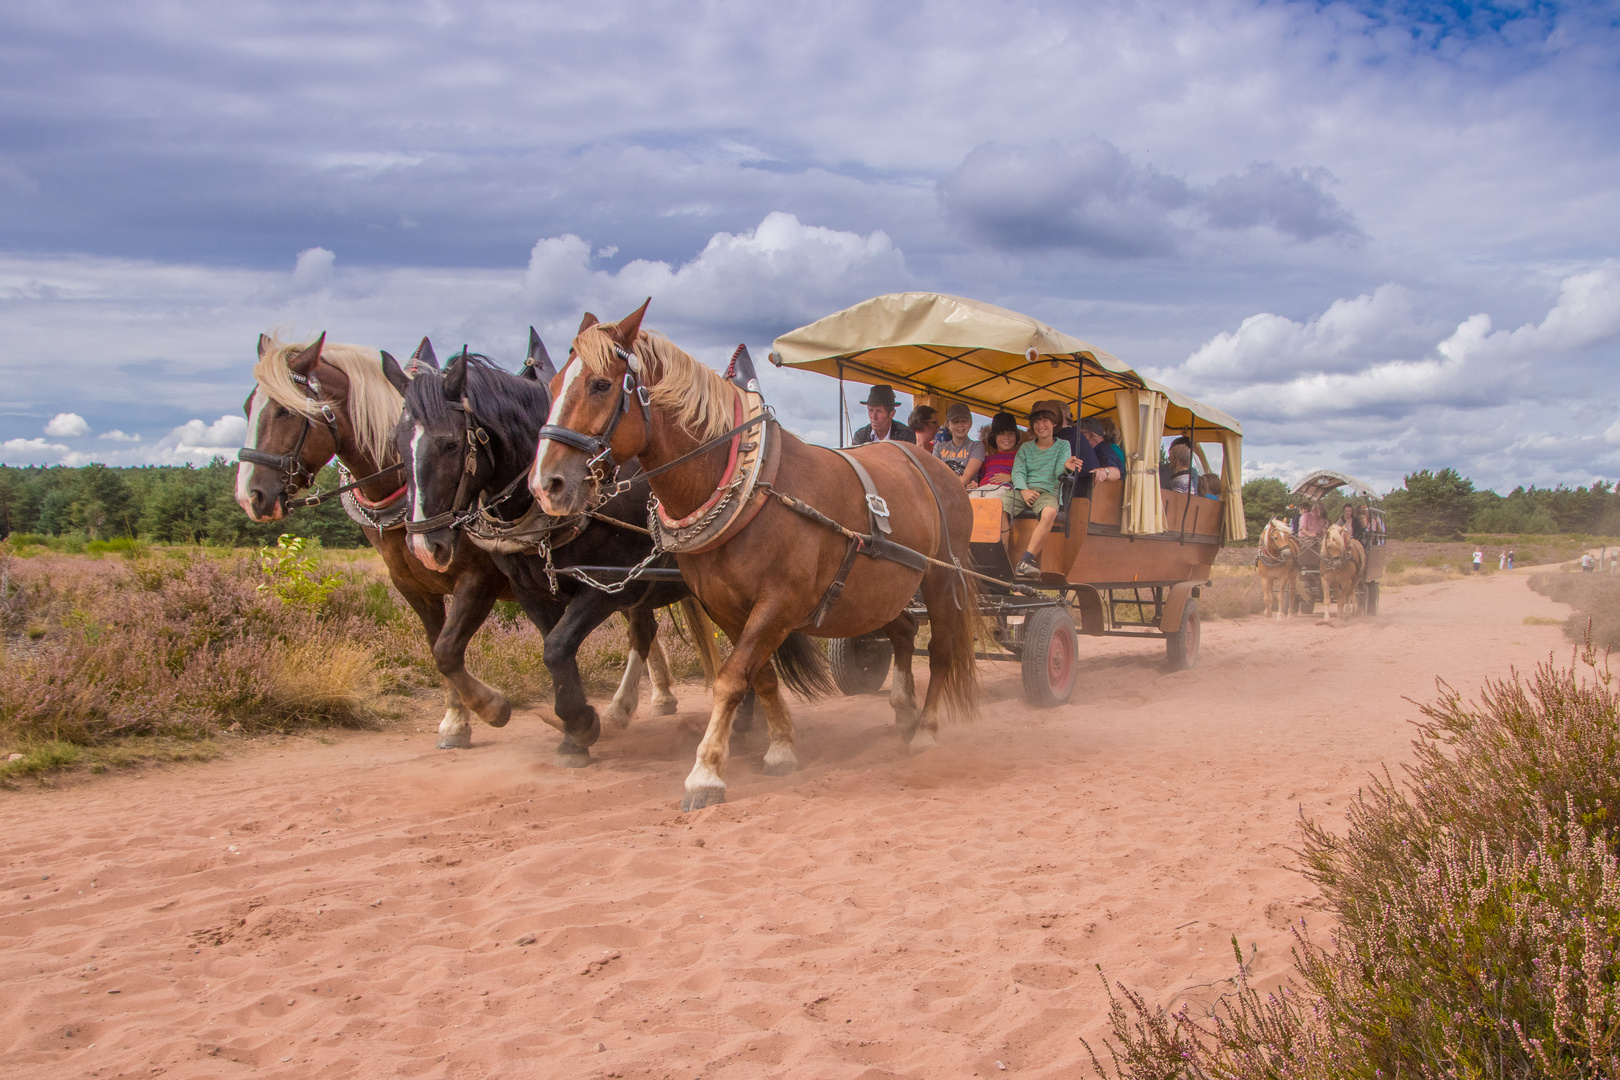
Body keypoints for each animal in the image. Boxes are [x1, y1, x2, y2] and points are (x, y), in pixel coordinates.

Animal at [388, 348, 725, 767]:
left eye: (450, 444)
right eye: (396, 445)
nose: (423, 545)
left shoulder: (606, 584)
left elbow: (557, 648)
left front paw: (577, 724)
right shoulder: (531, 591)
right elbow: (459, 649)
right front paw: (535, 719)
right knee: (646, 633)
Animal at [528, 299, 972, 806]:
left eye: (601, 384)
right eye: (553, 386)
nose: (545, 485)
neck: (753, 485)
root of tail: (937, 467)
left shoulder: (779, 603)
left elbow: (730, 678)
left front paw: (705, 772)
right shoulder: (725, 606)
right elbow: (759, 677)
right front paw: (780, 749)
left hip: (941, 578)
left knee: (938, 650)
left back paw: (926, 730)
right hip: (881, 589)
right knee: (902, 632)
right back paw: (904, 711)